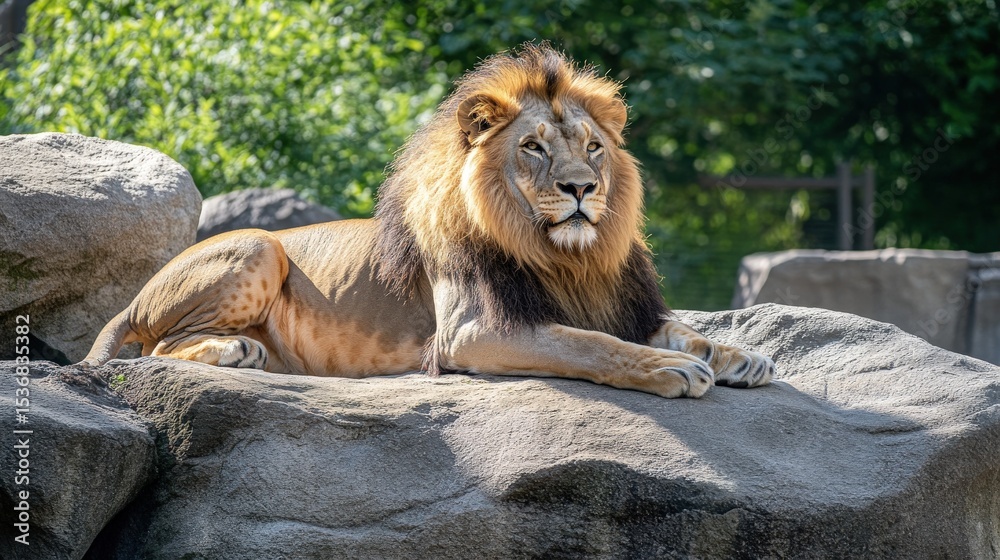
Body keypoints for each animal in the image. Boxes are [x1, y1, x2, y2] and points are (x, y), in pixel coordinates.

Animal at [81, 44, 774, 398]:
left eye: (594, 147)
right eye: (534, 147)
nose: (581, 187)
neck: (564, 256)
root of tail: (137, 293)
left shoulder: (615, 302)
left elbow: (681, 329)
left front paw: (740, 355)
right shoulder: (474, 331)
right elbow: (591, 345)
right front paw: (670, 370)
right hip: (258, 246)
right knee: (159, 348)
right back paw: (235, 349)